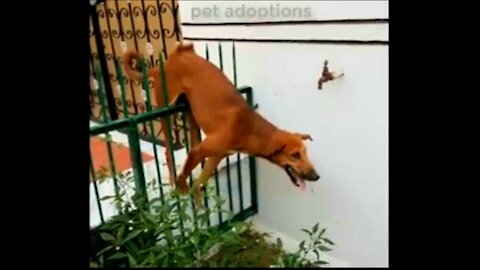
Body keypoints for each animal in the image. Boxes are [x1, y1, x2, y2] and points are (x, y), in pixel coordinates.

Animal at [123, 40, 318, 205]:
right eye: (295, 155)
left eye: (305, 152)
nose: (316, 176)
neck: (250, 129)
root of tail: (169, 61)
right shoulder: (199, 151)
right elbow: (184, 175)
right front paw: (182, 187)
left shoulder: (216, 155)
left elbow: (200, 182)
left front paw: (199, 204)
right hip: (165, 108)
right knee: (168, 152)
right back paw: (172, 179)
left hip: (191, 114)